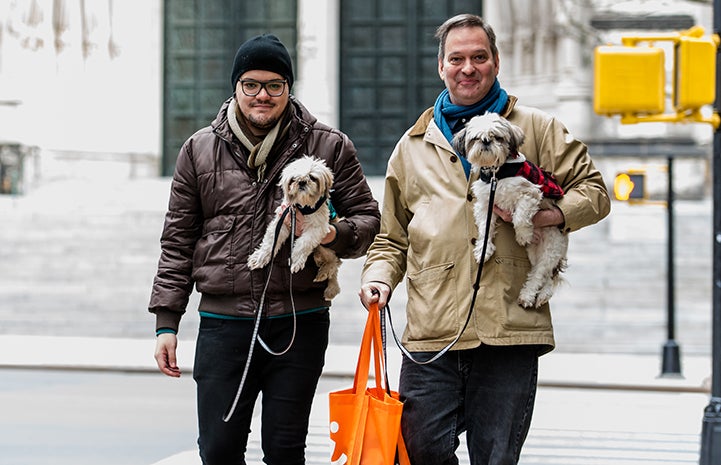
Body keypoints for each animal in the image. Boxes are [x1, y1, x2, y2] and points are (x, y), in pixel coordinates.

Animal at [246, 156, 342, 300]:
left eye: (312, 177)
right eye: (293, 179)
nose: (301, 182)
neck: (302, 206)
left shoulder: (317, 228)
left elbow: (303, 243)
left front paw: (296, 260)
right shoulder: (282, 222)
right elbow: (270, 241)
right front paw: (261, 257)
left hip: (324, 246)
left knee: (334, 262)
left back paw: (325, 274)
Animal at [450, 112, 568, 308]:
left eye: (497, 137)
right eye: (475, 138)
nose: (486, 141)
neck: (497, 173)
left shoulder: (530, 193)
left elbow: (520, 217)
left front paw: (523, 235)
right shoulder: (486, 203)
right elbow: (485, 228)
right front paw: (484, 249)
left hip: (551, 248)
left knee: (539, 274)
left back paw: (528, 295)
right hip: (534, 253)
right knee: (544, 275)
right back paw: (541, 294)